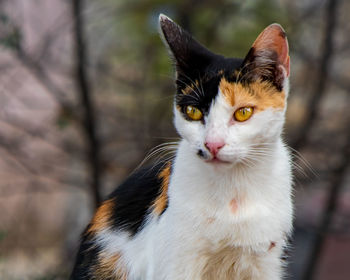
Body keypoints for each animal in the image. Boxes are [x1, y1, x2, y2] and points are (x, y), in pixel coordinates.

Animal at [71, 13, 292, 280]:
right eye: (192, 111)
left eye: (243, 113)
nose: (213, 143)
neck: (233, 195)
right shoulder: (176, 261)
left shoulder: (267, 262)